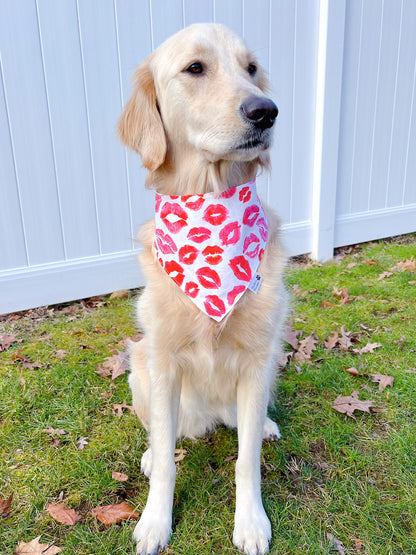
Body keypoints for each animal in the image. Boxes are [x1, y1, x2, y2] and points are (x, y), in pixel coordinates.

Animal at [117, 22, 286, 555]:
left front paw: (250, 522)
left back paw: (266, 425)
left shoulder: (256, 360)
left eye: (251, 69)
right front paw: (155, 521)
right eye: (195, 68)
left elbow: (246, 462)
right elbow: (167, 464)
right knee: (159, 435)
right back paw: (151, 454)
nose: (266, 110)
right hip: (140, 367)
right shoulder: (164, 361)